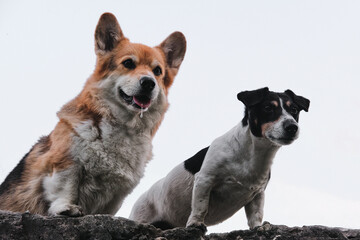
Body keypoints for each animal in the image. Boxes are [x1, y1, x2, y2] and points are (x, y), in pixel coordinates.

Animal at [0, 12, 186, 217]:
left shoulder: (118, 192)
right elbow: (66, 187)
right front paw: (66, 207)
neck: (123, 126)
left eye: (158, 71)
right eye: (128, 63)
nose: (149, 83)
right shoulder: (64, 162)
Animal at [129, 87, 310, 231]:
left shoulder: (257, 193)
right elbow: (200, 206)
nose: (292, 127)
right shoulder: (204, 180)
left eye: (294, 110)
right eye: (267, 108)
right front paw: (195, 224)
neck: (251, 154)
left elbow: (256, 215)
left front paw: (259, 228)